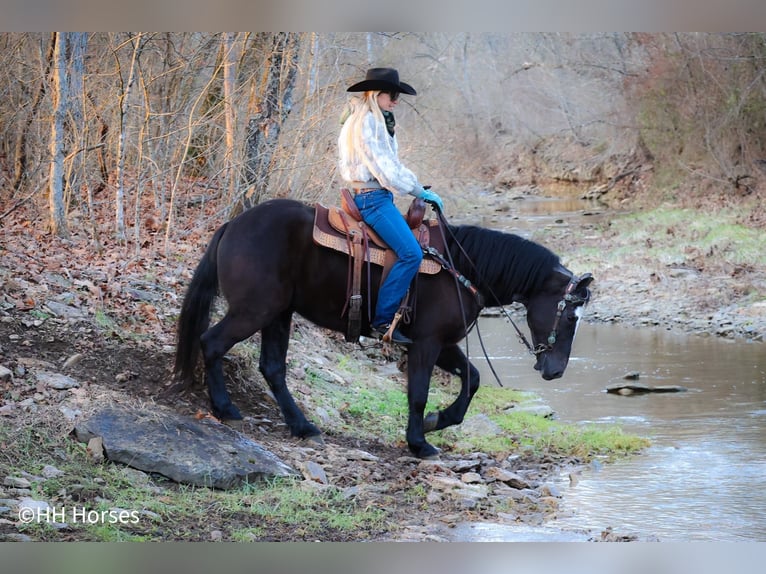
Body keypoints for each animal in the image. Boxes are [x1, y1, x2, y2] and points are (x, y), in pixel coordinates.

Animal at [174, 200, 592, 462]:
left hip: (279, 314)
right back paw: (226, 409)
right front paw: (420, 443)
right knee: (212, 343)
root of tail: (232, 225)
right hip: (255, 311)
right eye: (571, 317)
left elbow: (471, 379)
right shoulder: (426, 344)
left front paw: (437, 422)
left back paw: (303, 426)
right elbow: (419, 394)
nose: (555, 371)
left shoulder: (443, 344)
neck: (461, 267)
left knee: (273, 369)